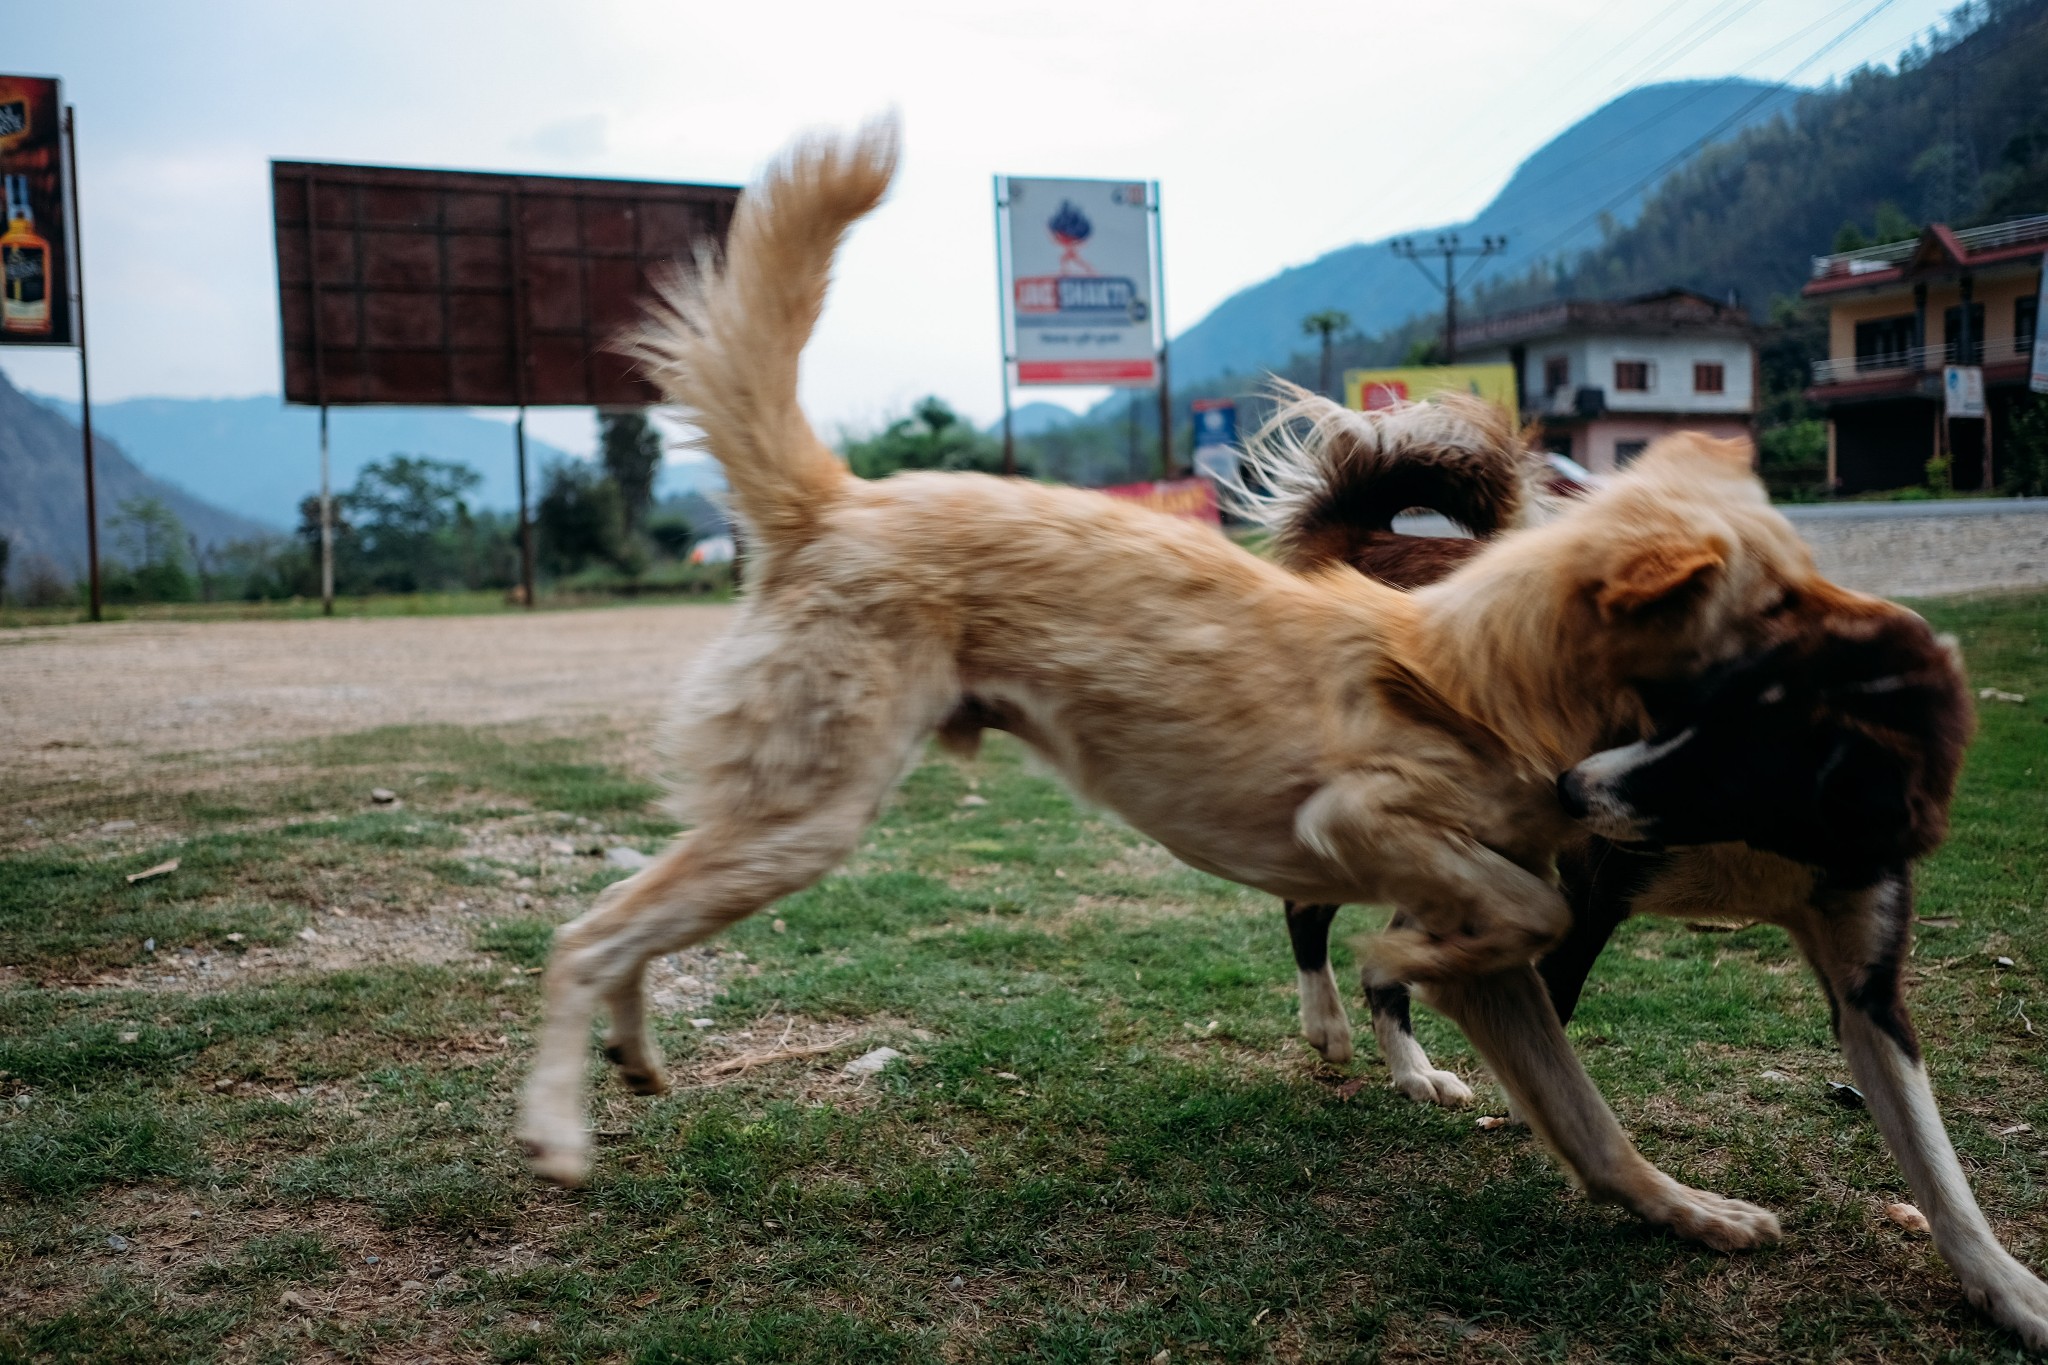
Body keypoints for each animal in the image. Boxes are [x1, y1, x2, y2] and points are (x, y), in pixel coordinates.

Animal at [512, 120, 1843, 1260]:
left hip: (780, 815)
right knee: (584, 932)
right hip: (807, 816)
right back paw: (559, 1127)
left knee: (631, 913)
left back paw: (631, 1051)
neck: (1521, 676)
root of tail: (837, 499)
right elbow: (1520, 916)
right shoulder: (1366, 822)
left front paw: (1691, 1212)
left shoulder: (1502, 962)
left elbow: (1587, 1115)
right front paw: (1402, 960)